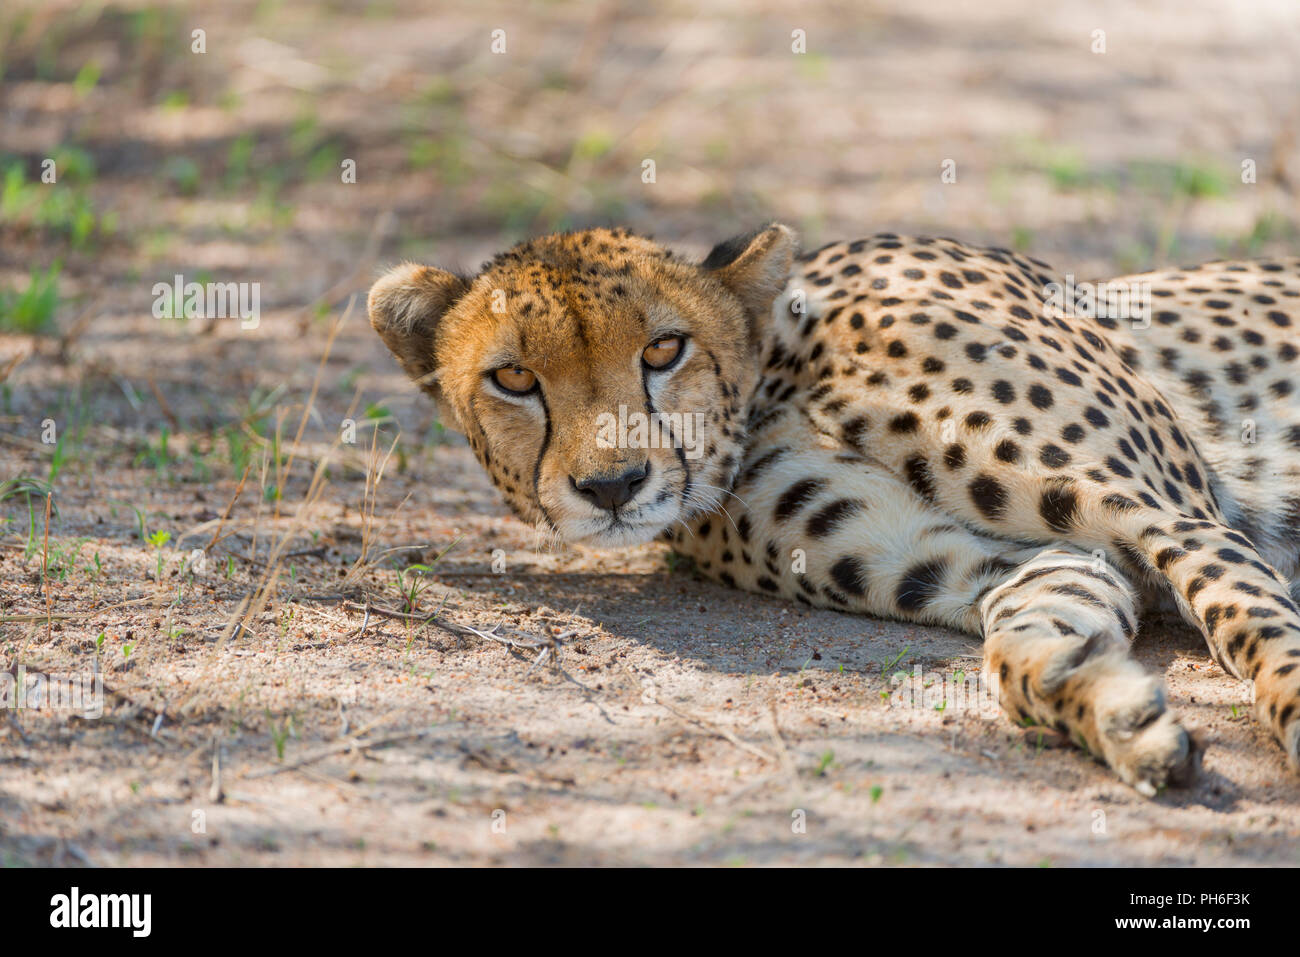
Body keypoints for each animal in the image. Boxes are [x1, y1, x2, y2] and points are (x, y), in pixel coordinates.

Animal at [366, 223, 1300, 790]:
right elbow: (1027, 646)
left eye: (664, 349)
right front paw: (1118, 710)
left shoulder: (1175, 515)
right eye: (514, 377)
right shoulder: (1037, 555)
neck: (781, 378)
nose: (612, 486)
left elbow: (1260, 632)